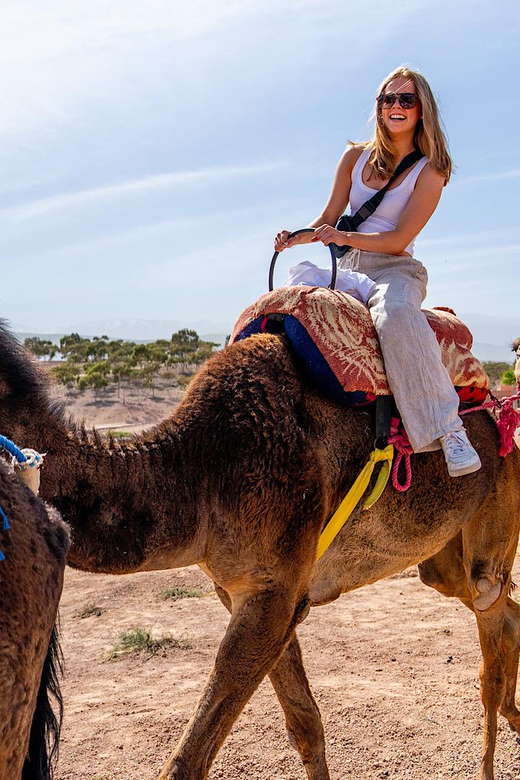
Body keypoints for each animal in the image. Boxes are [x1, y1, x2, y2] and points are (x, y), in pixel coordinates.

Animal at [0, 321, 519, 780]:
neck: (197, 466)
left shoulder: (275, 588)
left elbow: (186, 763)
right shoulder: (247, 591)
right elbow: (305, 724)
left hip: (498, 499)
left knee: (488, 607)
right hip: (442, 556)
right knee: (493, 603)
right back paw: (515, 714)